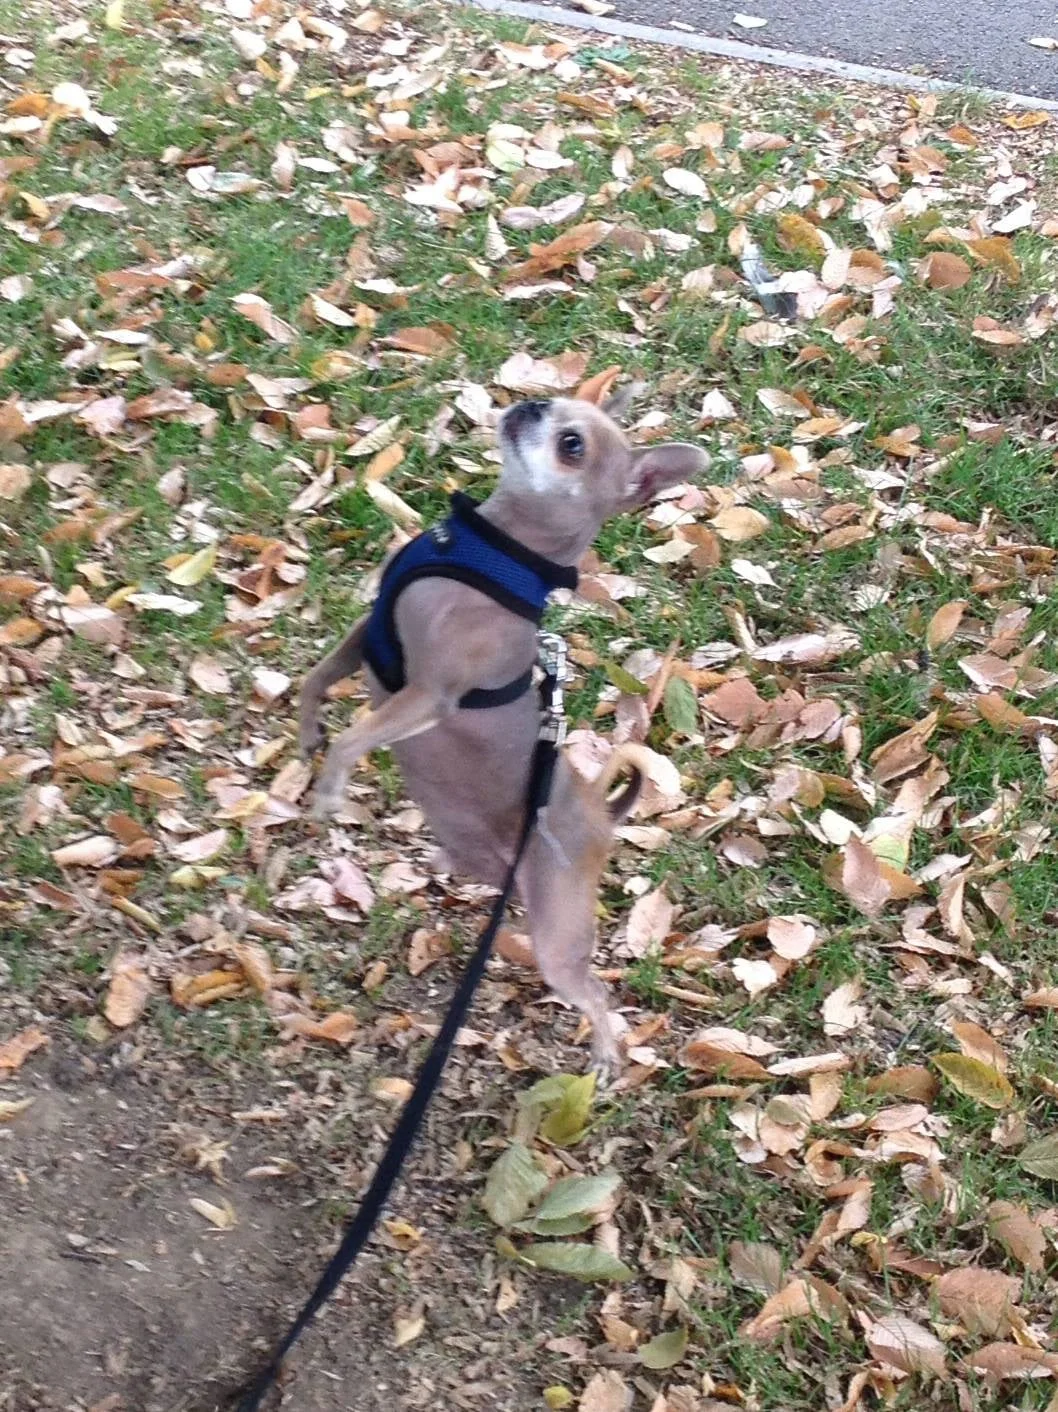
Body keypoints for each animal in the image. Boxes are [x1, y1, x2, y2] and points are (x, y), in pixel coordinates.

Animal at [299, 395, 707, 1070]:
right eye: (556, 399)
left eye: (573, 445)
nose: (533, 402)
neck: (487, 546)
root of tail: (601, 815)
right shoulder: (367, 634)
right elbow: (316, 678)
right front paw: (308, 730)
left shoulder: (429, 695)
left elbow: (353, 738)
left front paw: (330, 788)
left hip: (557, 939)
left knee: (594, 993)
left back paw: (605, 1053)